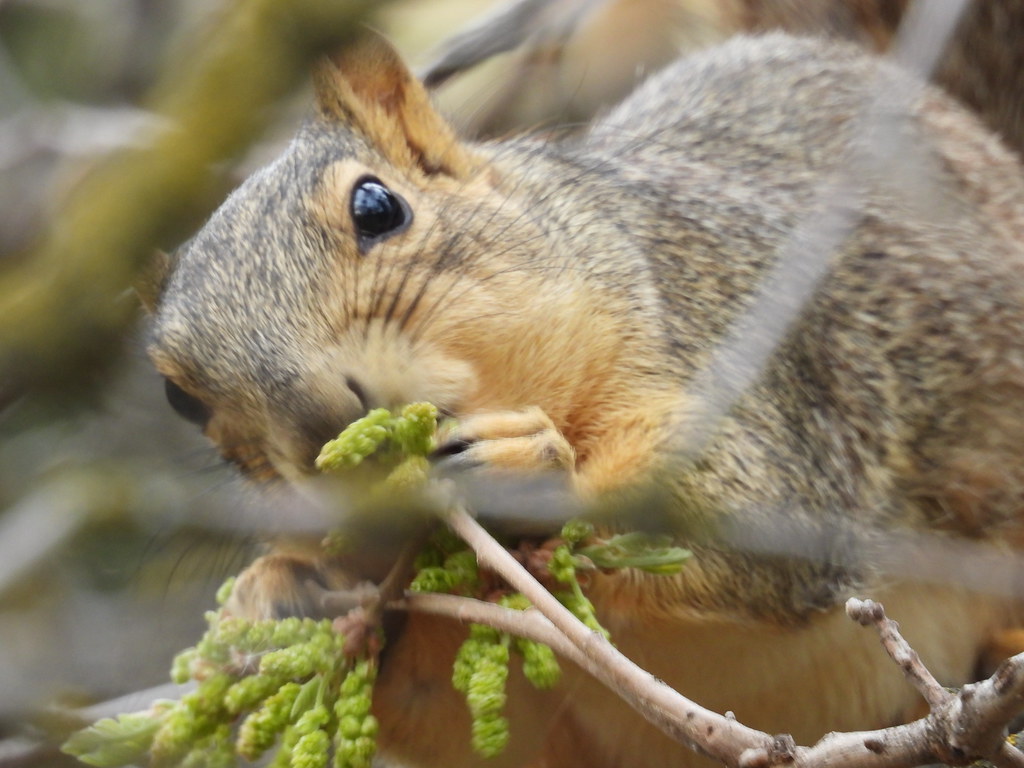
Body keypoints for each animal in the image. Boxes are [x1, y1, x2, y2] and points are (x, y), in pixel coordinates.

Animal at [145, 30, 1024, 768]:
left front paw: (530, 467)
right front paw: (272, 601)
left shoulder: (753, 361)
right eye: (178, 397)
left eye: (376, 206)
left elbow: (766, 516)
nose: (322, 424)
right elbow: (459, 723)